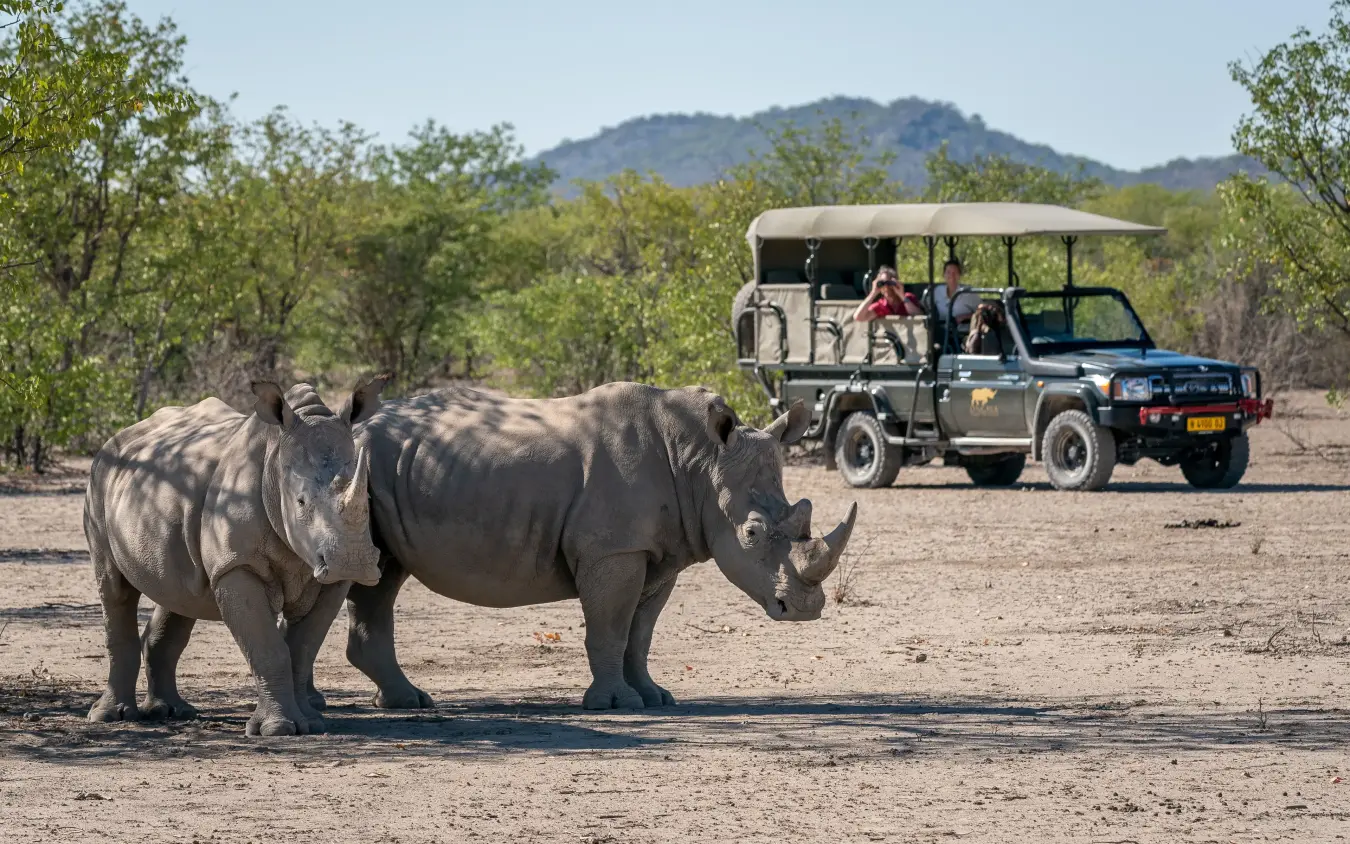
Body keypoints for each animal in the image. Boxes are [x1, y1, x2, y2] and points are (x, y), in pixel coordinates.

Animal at [83, 377, 389, 736]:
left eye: (368, 499)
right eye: (300, 502)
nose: (352, 563)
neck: (275, 463)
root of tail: (121, 435)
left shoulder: (329, 578)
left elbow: (302, 649)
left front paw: (311, 723)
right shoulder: (237, 565)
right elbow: (269, 648)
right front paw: (278, 729)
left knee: (179, 593)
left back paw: (171, 711)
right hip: (99, 478)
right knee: (115, 589)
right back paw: (110, 716)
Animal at [325, 382, 856, 711]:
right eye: (751, 534)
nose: (804, 610)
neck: (700, 463)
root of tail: (347, 425)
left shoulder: (657, 553)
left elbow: (640, 634)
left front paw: (654, 698)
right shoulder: (613, 550)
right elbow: (611, 626)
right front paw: (616, 705)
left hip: (385, 474)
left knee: (384, 576)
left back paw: (405, 702)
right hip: (359, 472)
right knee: (371, 576)